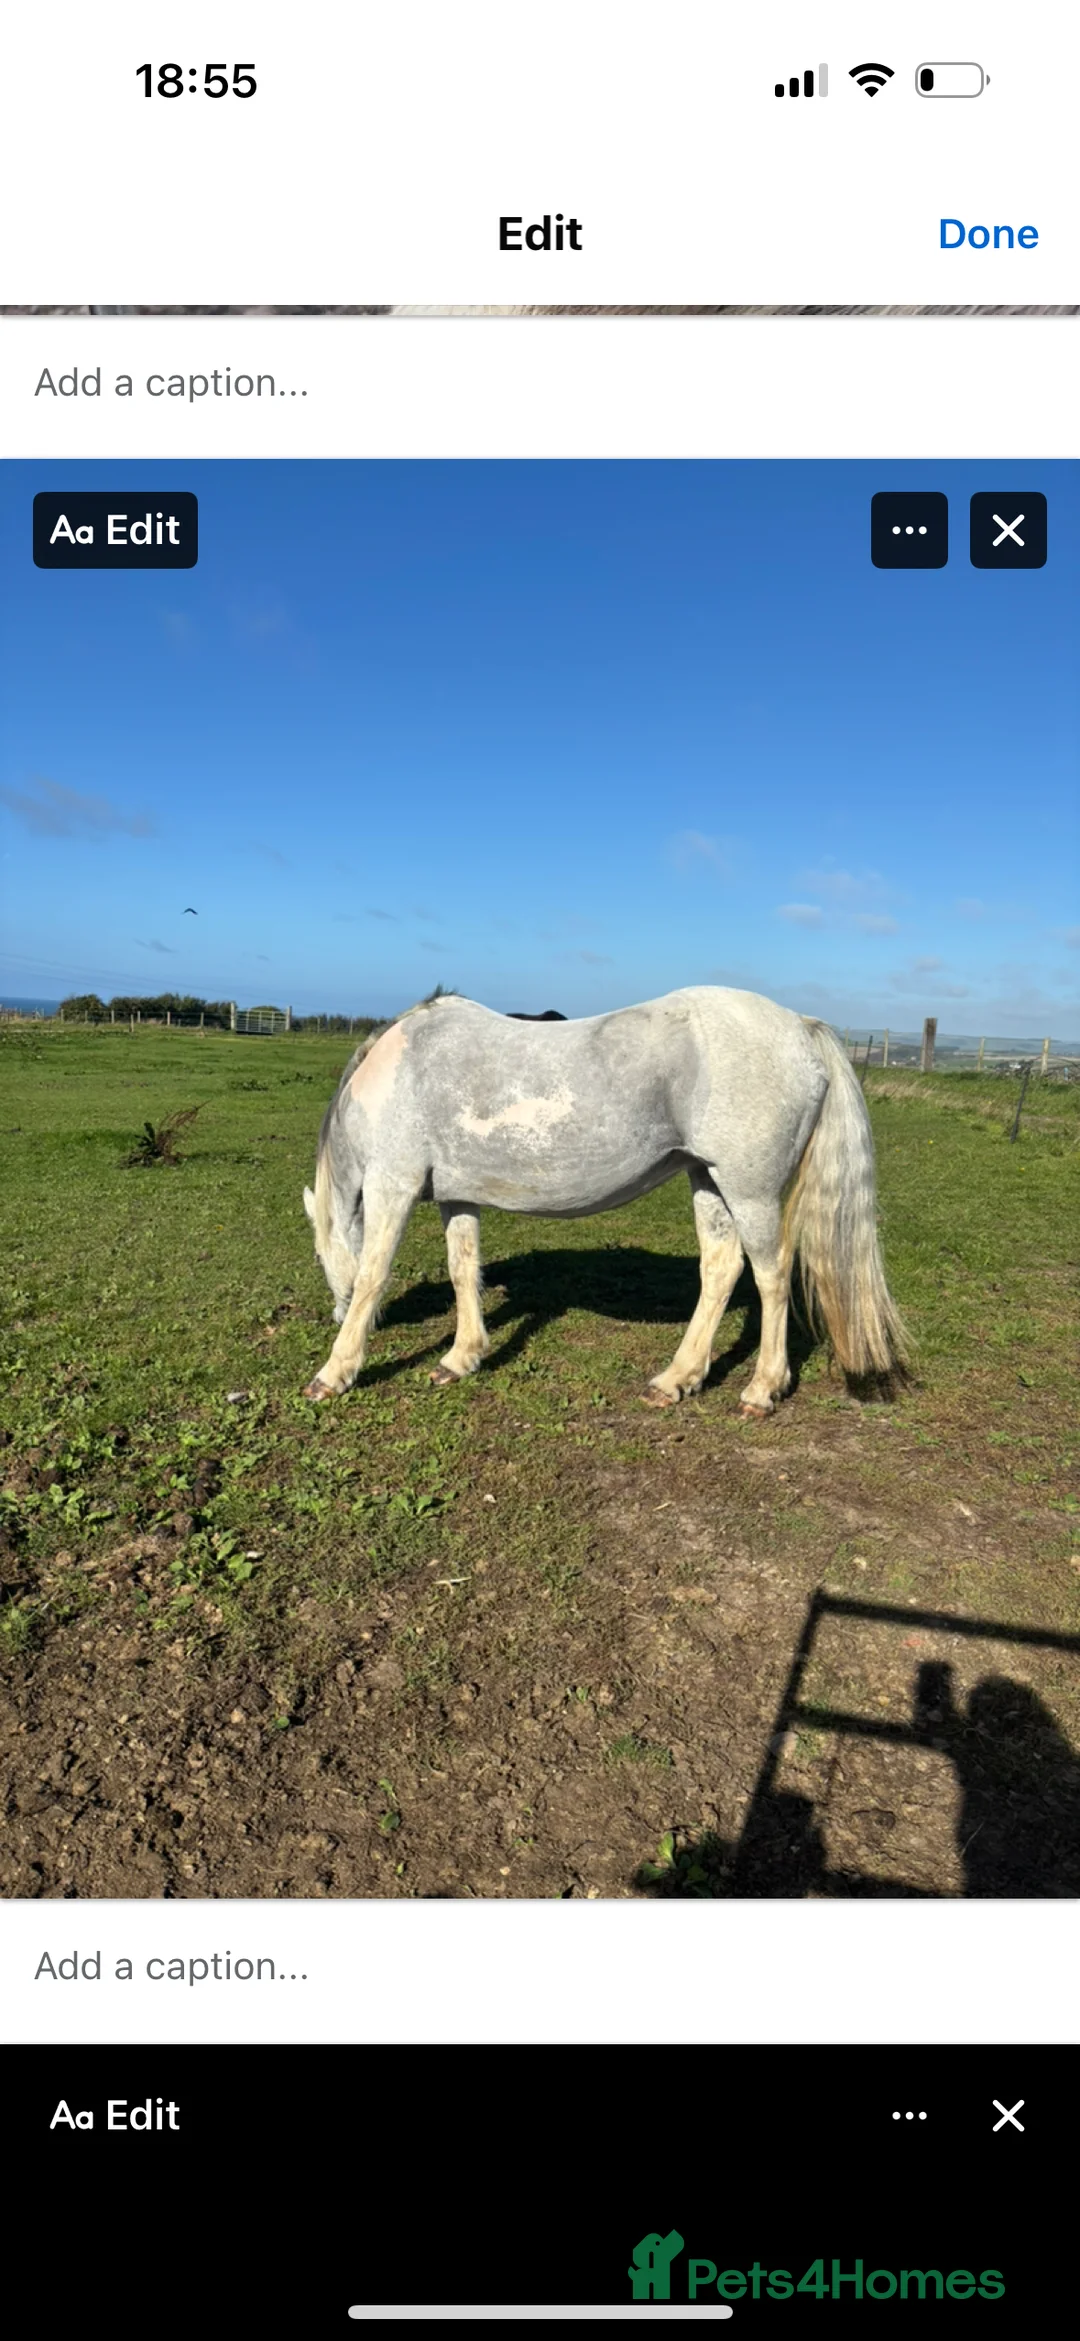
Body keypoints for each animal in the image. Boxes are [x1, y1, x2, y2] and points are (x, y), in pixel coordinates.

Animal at [301, 986, 908, 1415]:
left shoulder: (393, 1182)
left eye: (319, 1256)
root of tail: (799, 1027)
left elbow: (373, 1274)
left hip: (750, 1190)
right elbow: (463, 1269)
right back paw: (677, 1380)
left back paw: (762, 1389)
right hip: (708, 1180)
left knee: (772, 1275)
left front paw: (335, 1372)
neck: (394, 1074)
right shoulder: (458, 1196)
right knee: (721, 1269)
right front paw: (460, 1357)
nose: (333, 1315)